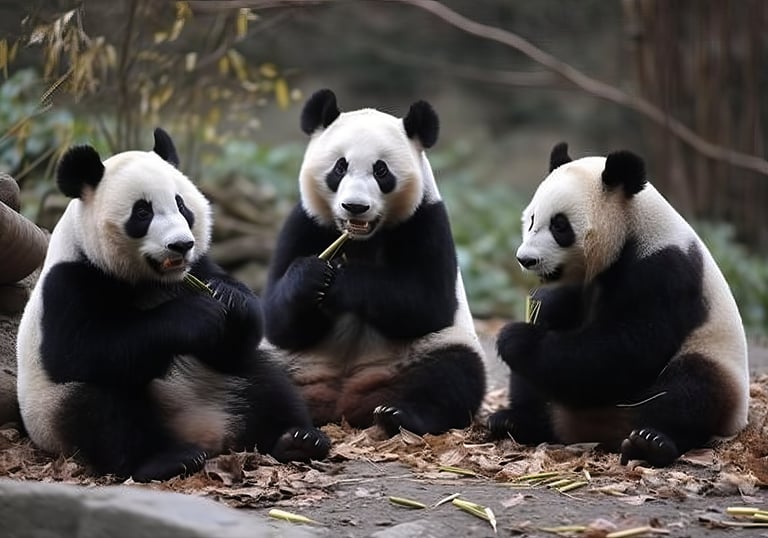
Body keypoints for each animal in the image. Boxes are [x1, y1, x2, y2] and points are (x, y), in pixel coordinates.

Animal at [16, 128, 329, 482]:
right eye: (142, 212)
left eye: (182, 205)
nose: (181, 245)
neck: (149, 280)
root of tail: (205, 432)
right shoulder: (71, 281)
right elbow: (76, 351)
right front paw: (194, 316)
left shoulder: (198, 267)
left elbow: (233, 340)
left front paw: (230, 299)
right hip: (54, 411)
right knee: (98, 406)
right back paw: (165, 460)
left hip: (220, 381)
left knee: (263, 381)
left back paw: (298, 439)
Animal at [262, 89, 486, 437]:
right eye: (339, 167)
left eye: (381, 171)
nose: (355, 206)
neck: (361, 239)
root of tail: (341, 402)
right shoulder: (305, 221)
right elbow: (277, 319)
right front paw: (311, 277)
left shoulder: (425, 219)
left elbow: (428, 302)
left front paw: (339, 281)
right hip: (286, 360)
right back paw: (296, 434)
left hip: (428, 350)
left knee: (454, 373)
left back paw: (399, 415)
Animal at [488, 142, 749, 467]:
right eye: (532, 219)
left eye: (560, 226)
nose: (526, 259)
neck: (634, 228)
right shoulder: (585, 285)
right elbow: (561, 310)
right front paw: (540, 308)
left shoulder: (666, 270)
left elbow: (626, 349)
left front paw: (515, 338)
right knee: (531, 385)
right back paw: (516, 421)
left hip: (716, 361)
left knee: (691, 389)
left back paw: (651, 442)